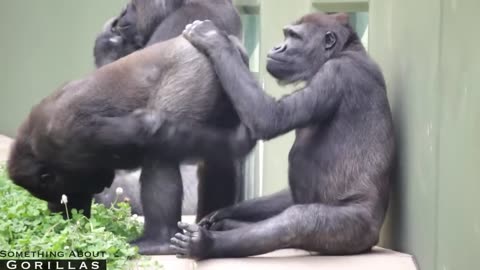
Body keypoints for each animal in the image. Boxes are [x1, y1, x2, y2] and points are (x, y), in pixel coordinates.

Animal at [7, 0, 253, 254]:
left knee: (160, 147)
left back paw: (159, 238)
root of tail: (232, 44)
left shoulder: (66, 135)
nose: (122, 16)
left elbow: (149, 129)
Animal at [163, 12, 396, 260]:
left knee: (297, 223)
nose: (278, 47)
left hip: (357, 231)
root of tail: (372, 242)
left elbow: (271, 117)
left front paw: (213, 39)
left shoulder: (335, 73)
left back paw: (207, 244)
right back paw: (224, 226)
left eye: (294, 36)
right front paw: (221, 212)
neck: (345, 50)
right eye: (287, 34)